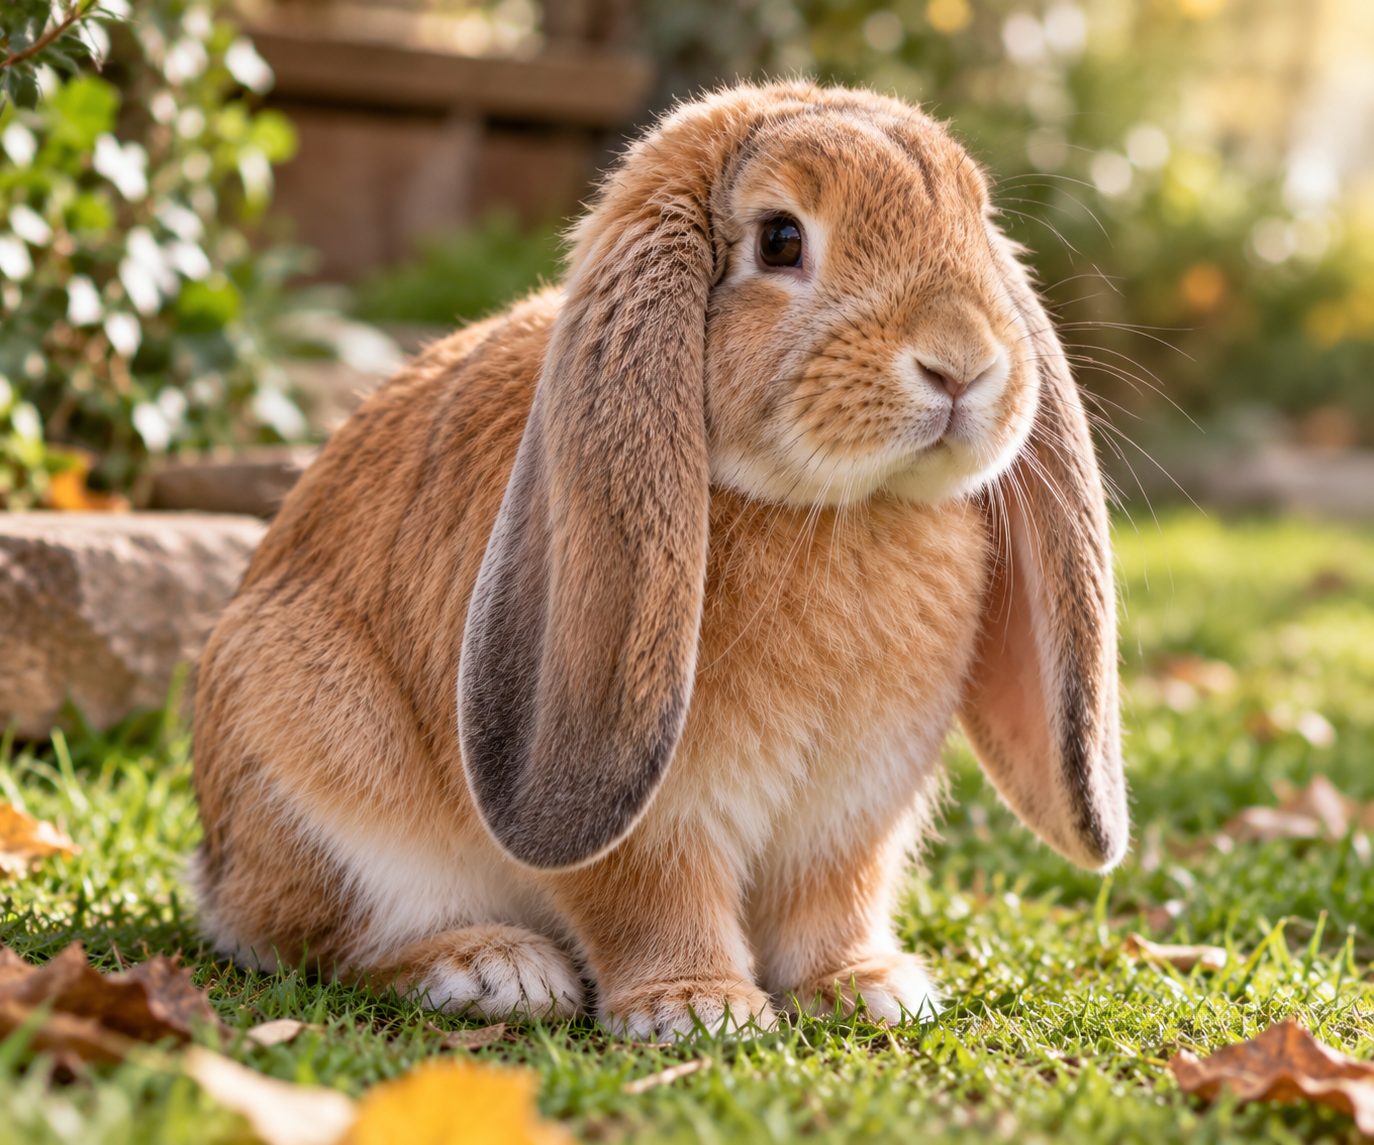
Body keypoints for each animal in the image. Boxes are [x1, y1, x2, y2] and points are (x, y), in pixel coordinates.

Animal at [190, 80, 1128, 1039]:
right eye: (780, 239)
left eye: (975, 224)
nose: (963, 364)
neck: (836, 508)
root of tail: (216, 869)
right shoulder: (653, 811)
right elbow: (649, 897)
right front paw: (698, 1007)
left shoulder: (850, 810)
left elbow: (833, 899)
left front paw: (868, 987)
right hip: (311, 748)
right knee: (326, 940)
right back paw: (489, 968)